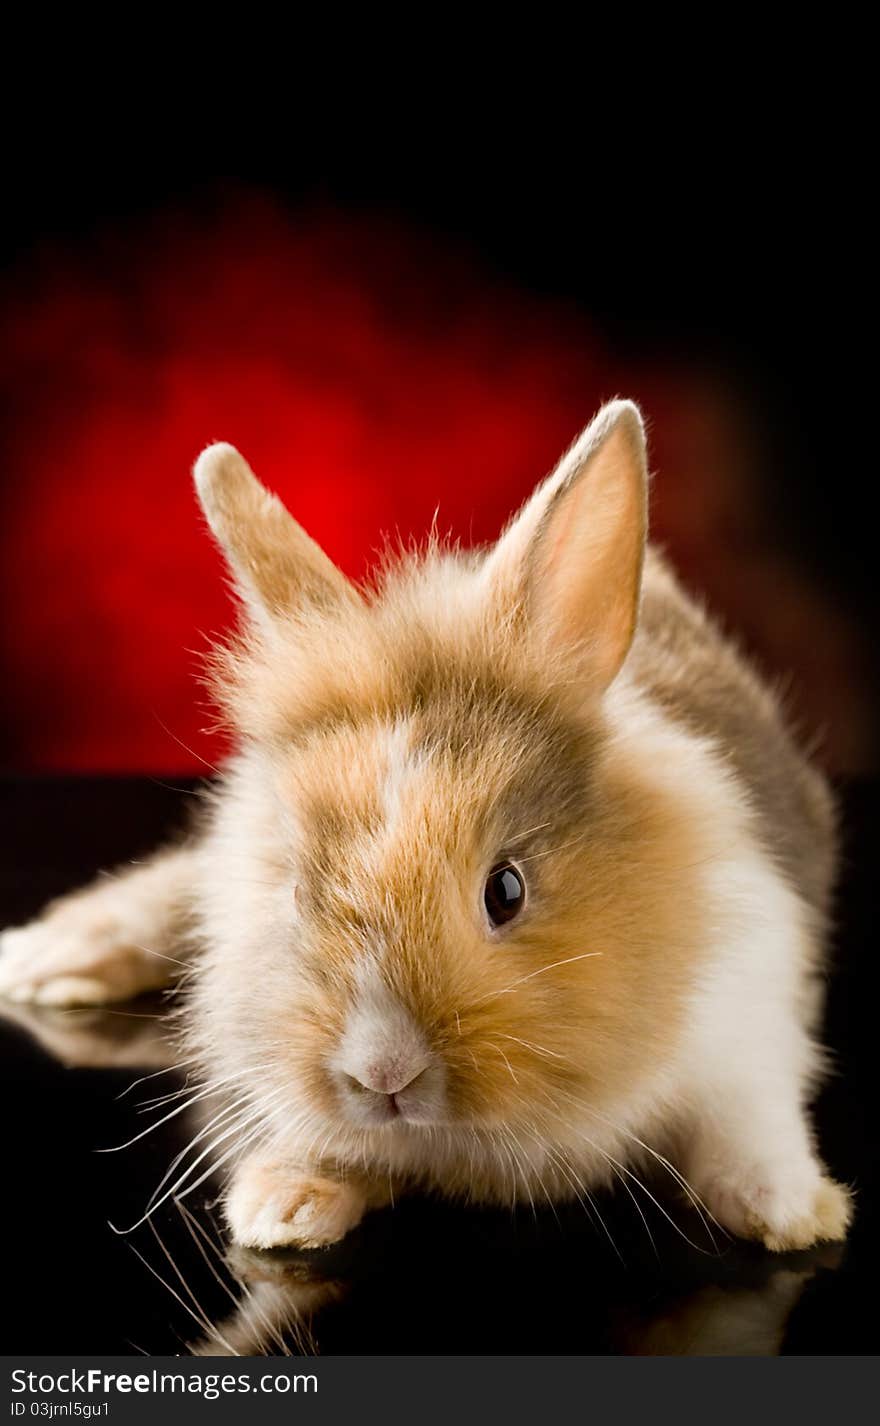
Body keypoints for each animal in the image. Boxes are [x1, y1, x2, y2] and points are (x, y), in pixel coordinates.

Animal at [0, 402, 850, 1260]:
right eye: (298, 894)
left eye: (506, 891)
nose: (383, 1073)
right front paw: (282, 1206)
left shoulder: (747, 1019)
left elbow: (750, 1123)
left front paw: (790, 1211)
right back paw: (43, 959)